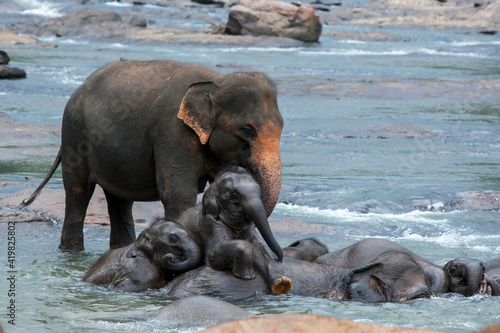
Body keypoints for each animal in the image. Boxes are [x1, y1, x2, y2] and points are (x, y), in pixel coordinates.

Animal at [20, 59, 282, 252]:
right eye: (248, 131)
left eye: (282, 127)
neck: (216, 81)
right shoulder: (172, 132)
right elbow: (178, 193)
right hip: (74, 132)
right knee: (78, 191)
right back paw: (71, 252)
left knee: (119, 200)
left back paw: (120, 249)